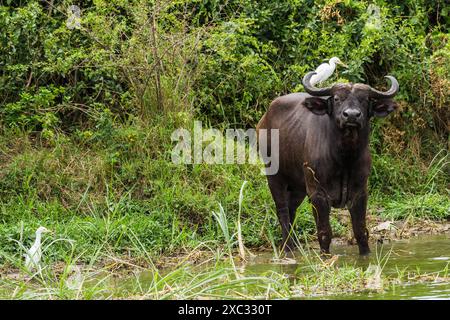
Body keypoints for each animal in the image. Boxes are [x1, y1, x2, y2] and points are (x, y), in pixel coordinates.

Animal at [255, 72, 400, 255]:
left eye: (365, 99)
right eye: (337, 98)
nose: (351, 115)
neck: (344, 158)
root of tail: (263, 120)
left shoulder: (360, 192)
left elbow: (360, 230)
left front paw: (365, 254)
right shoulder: (318, 194)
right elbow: (324, 232)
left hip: (298, 186)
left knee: (292, 209)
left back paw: (294, 245)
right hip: (274, 176)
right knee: (282, 211)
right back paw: (287, 247)